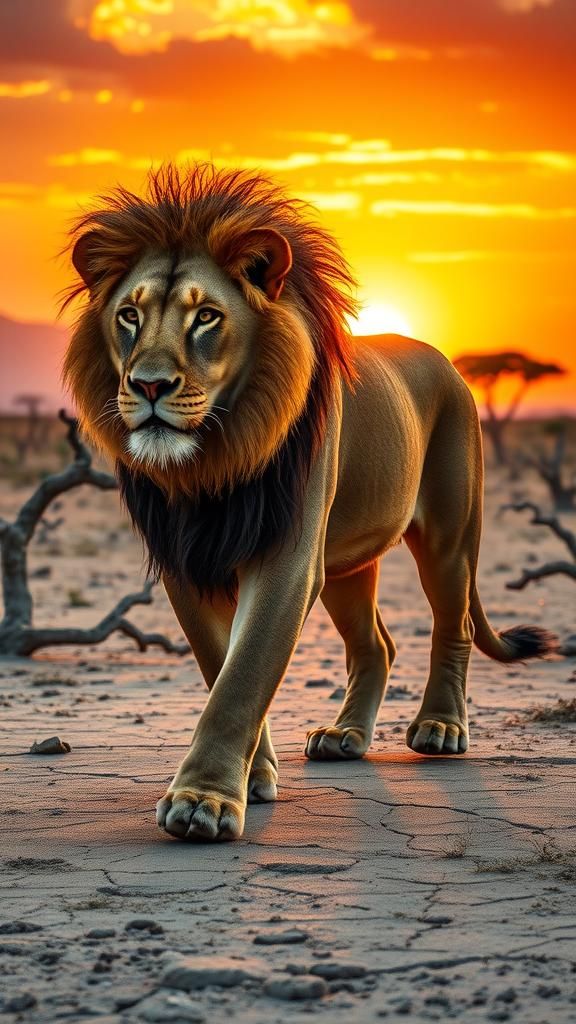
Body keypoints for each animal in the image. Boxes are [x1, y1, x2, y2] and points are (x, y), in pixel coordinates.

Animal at [63, 164, 556, 842]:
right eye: (129, 315)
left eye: (206, 317)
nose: (149, 386)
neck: (215, 456)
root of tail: (444, 361)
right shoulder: (185, 564)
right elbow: (221, 664)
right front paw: (252, 778)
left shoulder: (288, 559)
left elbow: (245, 672)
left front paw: (204, 801)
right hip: (347, 564)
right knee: (376, 645)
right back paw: (346, 736)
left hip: (449, 537)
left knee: (451, 624)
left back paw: (441, 728)